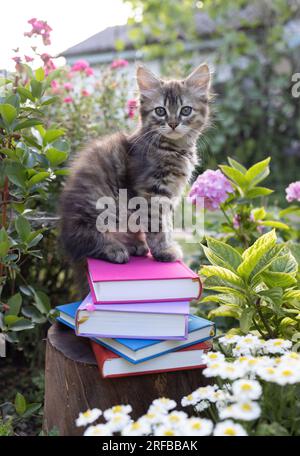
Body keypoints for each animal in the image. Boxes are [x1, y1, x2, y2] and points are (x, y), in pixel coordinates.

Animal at [59, 63, 211, 268]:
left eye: (185, 110)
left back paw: (134, 244)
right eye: (160, 111)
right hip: (99, 208)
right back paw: (114, 249)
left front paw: (167, 246)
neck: (173, 149)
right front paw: (165, 251)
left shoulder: (168, 195)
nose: (173, 124)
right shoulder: (150, 192)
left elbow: (168, 224)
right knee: (85, 240)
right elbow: (158, 226)